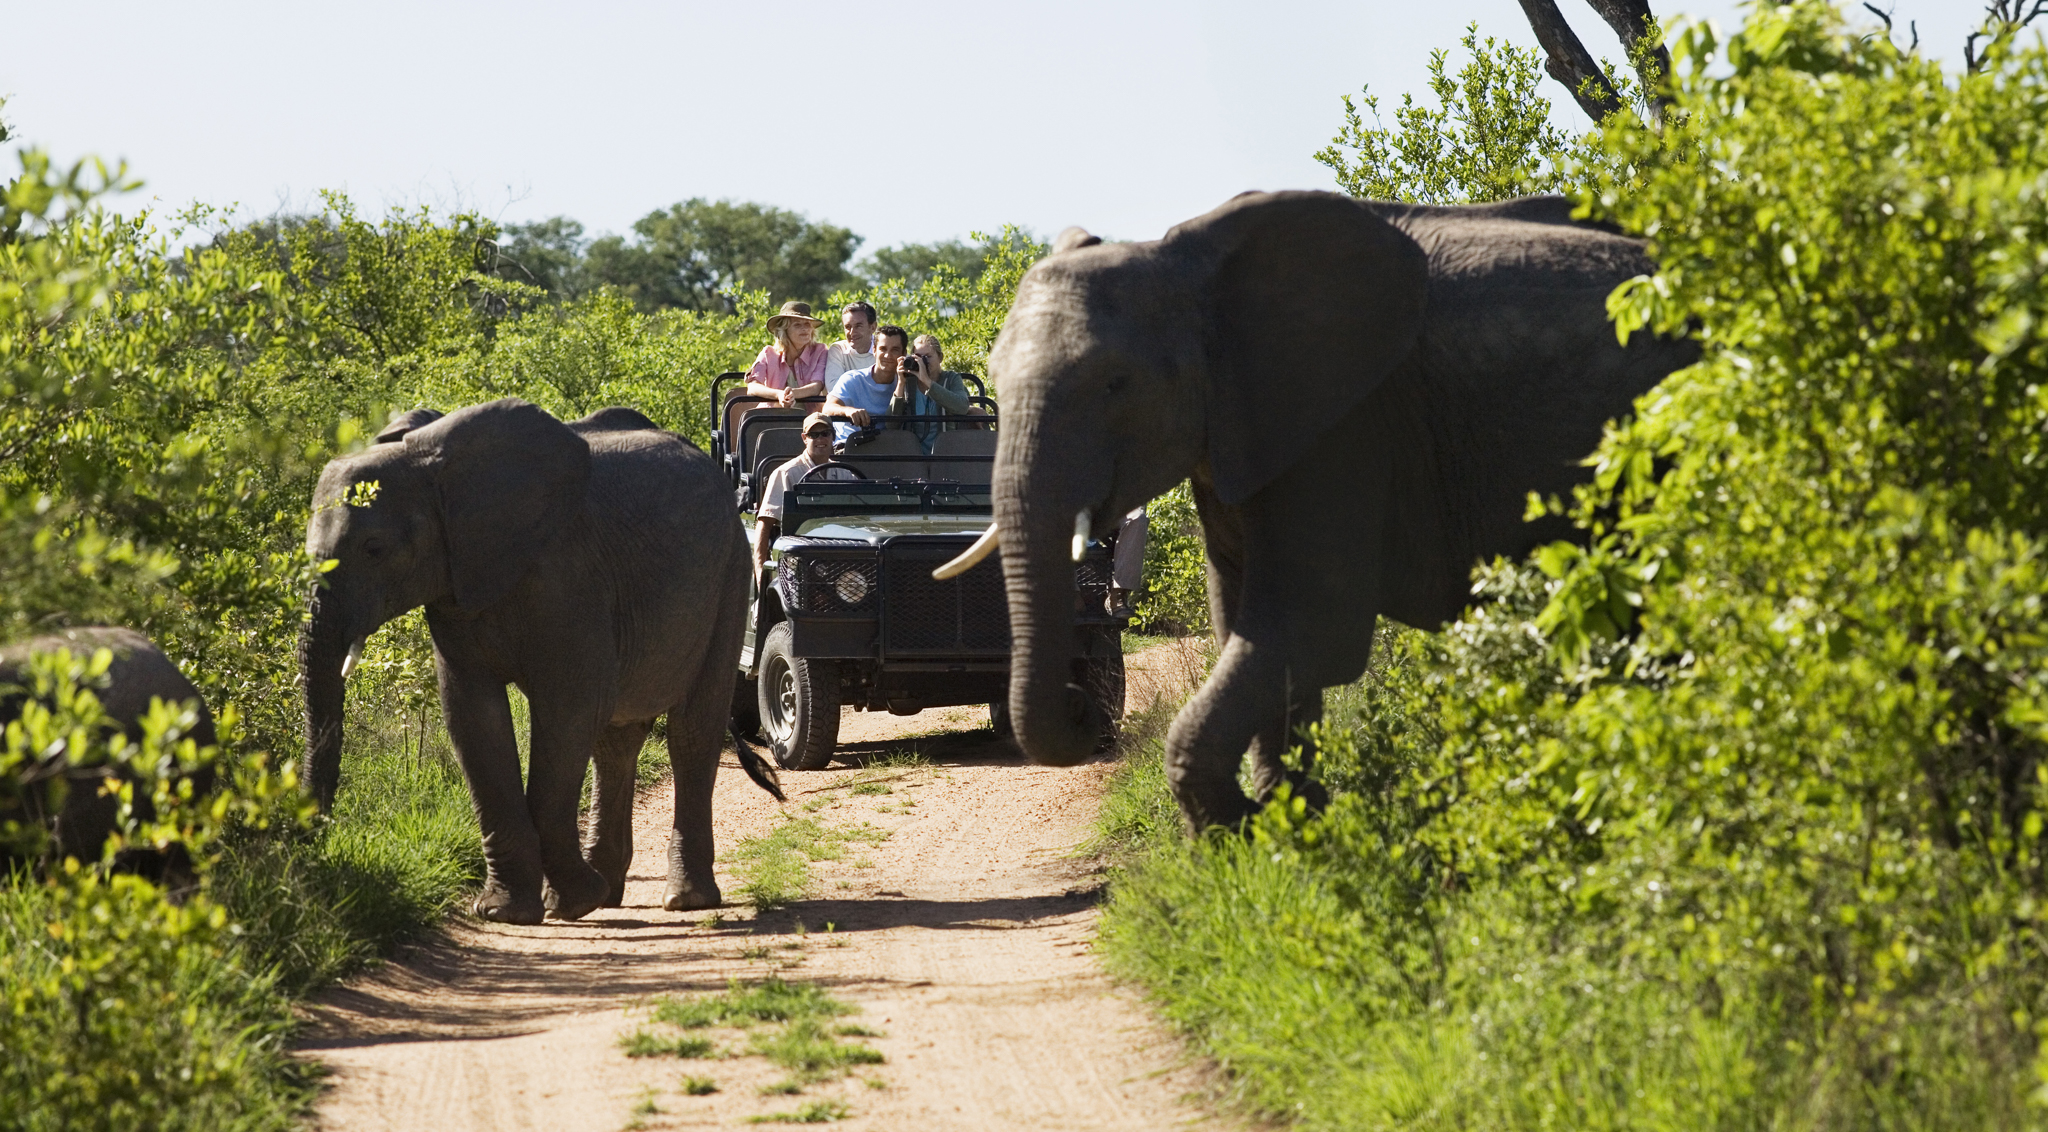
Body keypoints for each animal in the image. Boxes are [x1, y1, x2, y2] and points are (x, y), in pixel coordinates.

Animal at [966, 192, 1703, 831]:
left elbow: (1309, 629)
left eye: (1116, 384)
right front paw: (1292, 830)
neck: (1189, 268)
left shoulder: (1344, 429)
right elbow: (1244, 625)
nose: (1083, 706)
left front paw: (1242, 832)